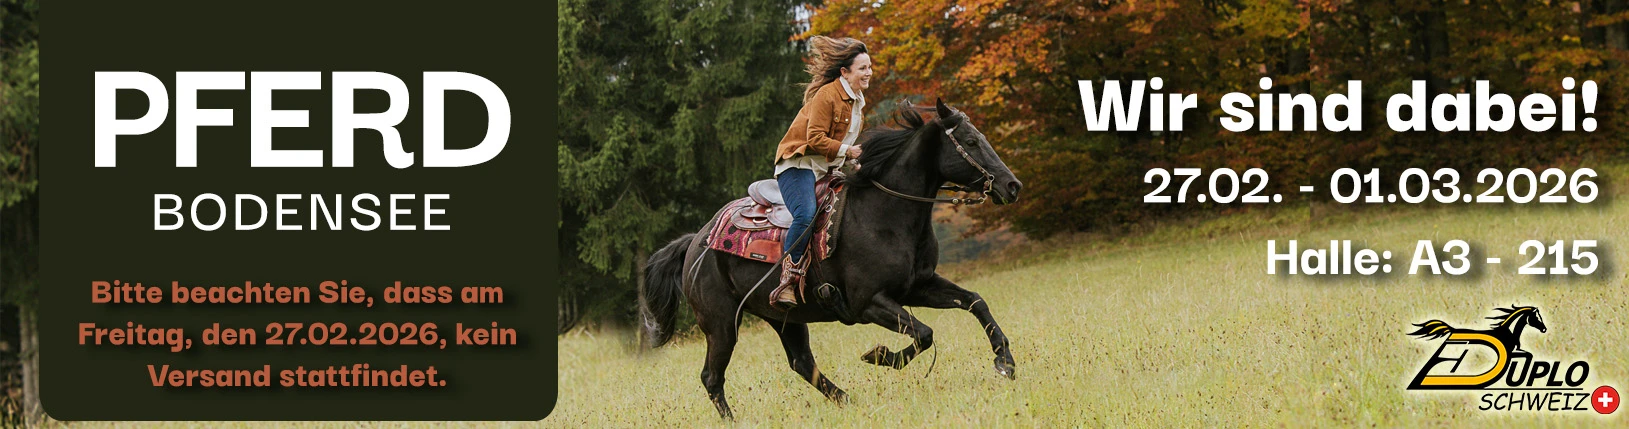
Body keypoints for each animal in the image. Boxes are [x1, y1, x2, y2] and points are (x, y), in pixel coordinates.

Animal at [641, 99, 1023, 419]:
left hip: (785, 318)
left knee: (801, 362)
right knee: (712, 377)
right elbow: (924, 333)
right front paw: (878, 355)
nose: (1012, 186)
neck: (885, 213)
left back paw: (847, 400)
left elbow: (974, 302)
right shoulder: (868, 303)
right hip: (721, 325)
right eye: (970, 142)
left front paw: (1004, 362)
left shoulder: (919, 286)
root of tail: (696, 242)